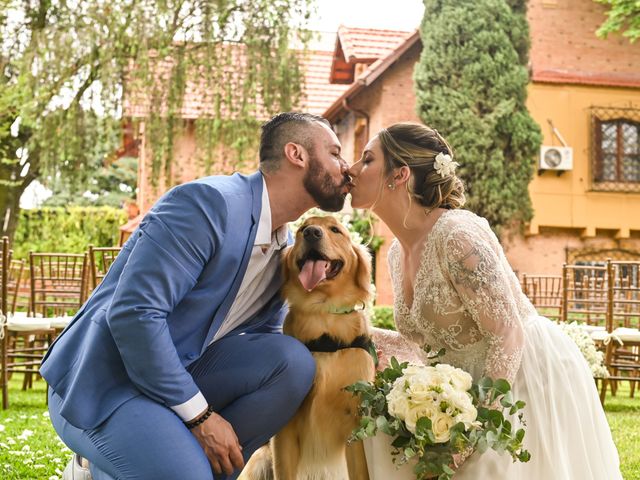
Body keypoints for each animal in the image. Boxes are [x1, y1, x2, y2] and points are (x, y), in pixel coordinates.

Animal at [242, 217, 378, 480]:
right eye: (304, 227)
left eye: (336, 230)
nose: (312, 233)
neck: (322, 315)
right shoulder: (284, 430)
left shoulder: (356, 425)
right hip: (259, 460)